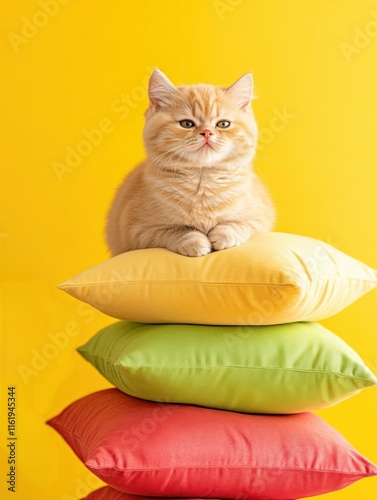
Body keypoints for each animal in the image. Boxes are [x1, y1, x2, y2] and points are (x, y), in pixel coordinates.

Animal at [104, 69, 274, 258]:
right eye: (187, 123)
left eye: (223, 124)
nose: (207, 132)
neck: (202, 182)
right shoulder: (136, 230)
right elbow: (173, 230)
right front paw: (193, 241)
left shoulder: (261, 217)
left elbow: (241, 224)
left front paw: (224, 234)